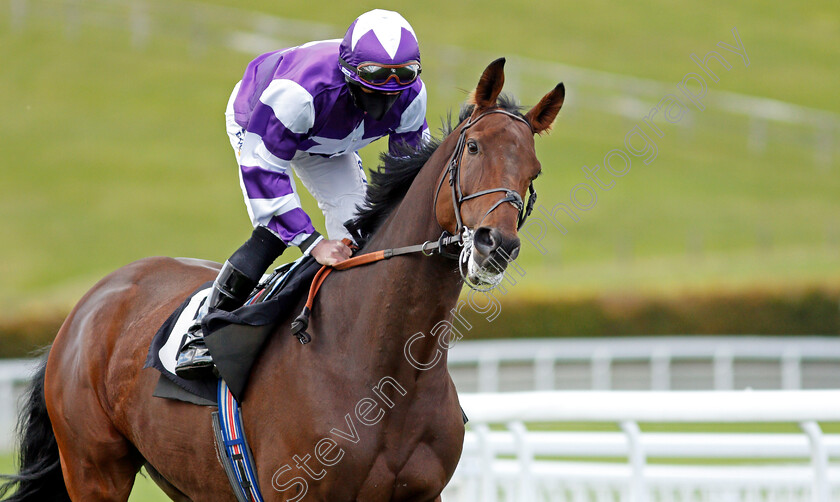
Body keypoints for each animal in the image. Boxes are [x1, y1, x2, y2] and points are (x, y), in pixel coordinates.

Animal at [1, 59, 564, 502]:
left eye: (533, 171)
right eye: (473, 148)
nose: (495, 244)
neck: (379, 369)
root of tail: (88, 304)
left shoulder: (424, 495)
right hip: (94, 468)